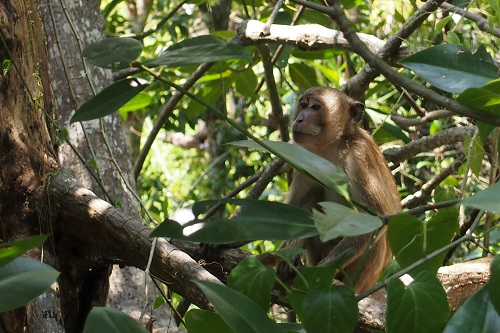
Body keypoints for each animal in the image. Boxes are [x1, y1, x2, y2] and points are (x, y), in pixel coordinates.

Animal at [280, 87, 400, 292]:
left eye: (315, 107)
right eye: (303, 105)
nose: (299, 119)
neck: (332, 147)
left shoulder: (359, 159)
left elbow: (375, 219)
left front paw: (319, 273)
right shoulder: (304, 157)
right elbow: (294, 208)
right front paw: (284, 253)